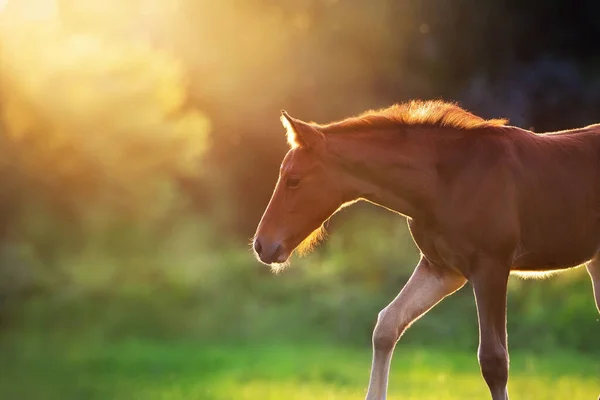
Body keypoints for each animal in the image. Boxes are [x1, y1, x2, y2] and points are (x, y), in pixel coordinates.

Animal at [252, 100, 600, 400]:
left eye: (293, 180)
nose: (262, 245)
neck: (448, 179)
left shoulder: (491, 267)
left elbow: (494, 361)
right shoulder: (442, 269)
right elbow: (387, 325)